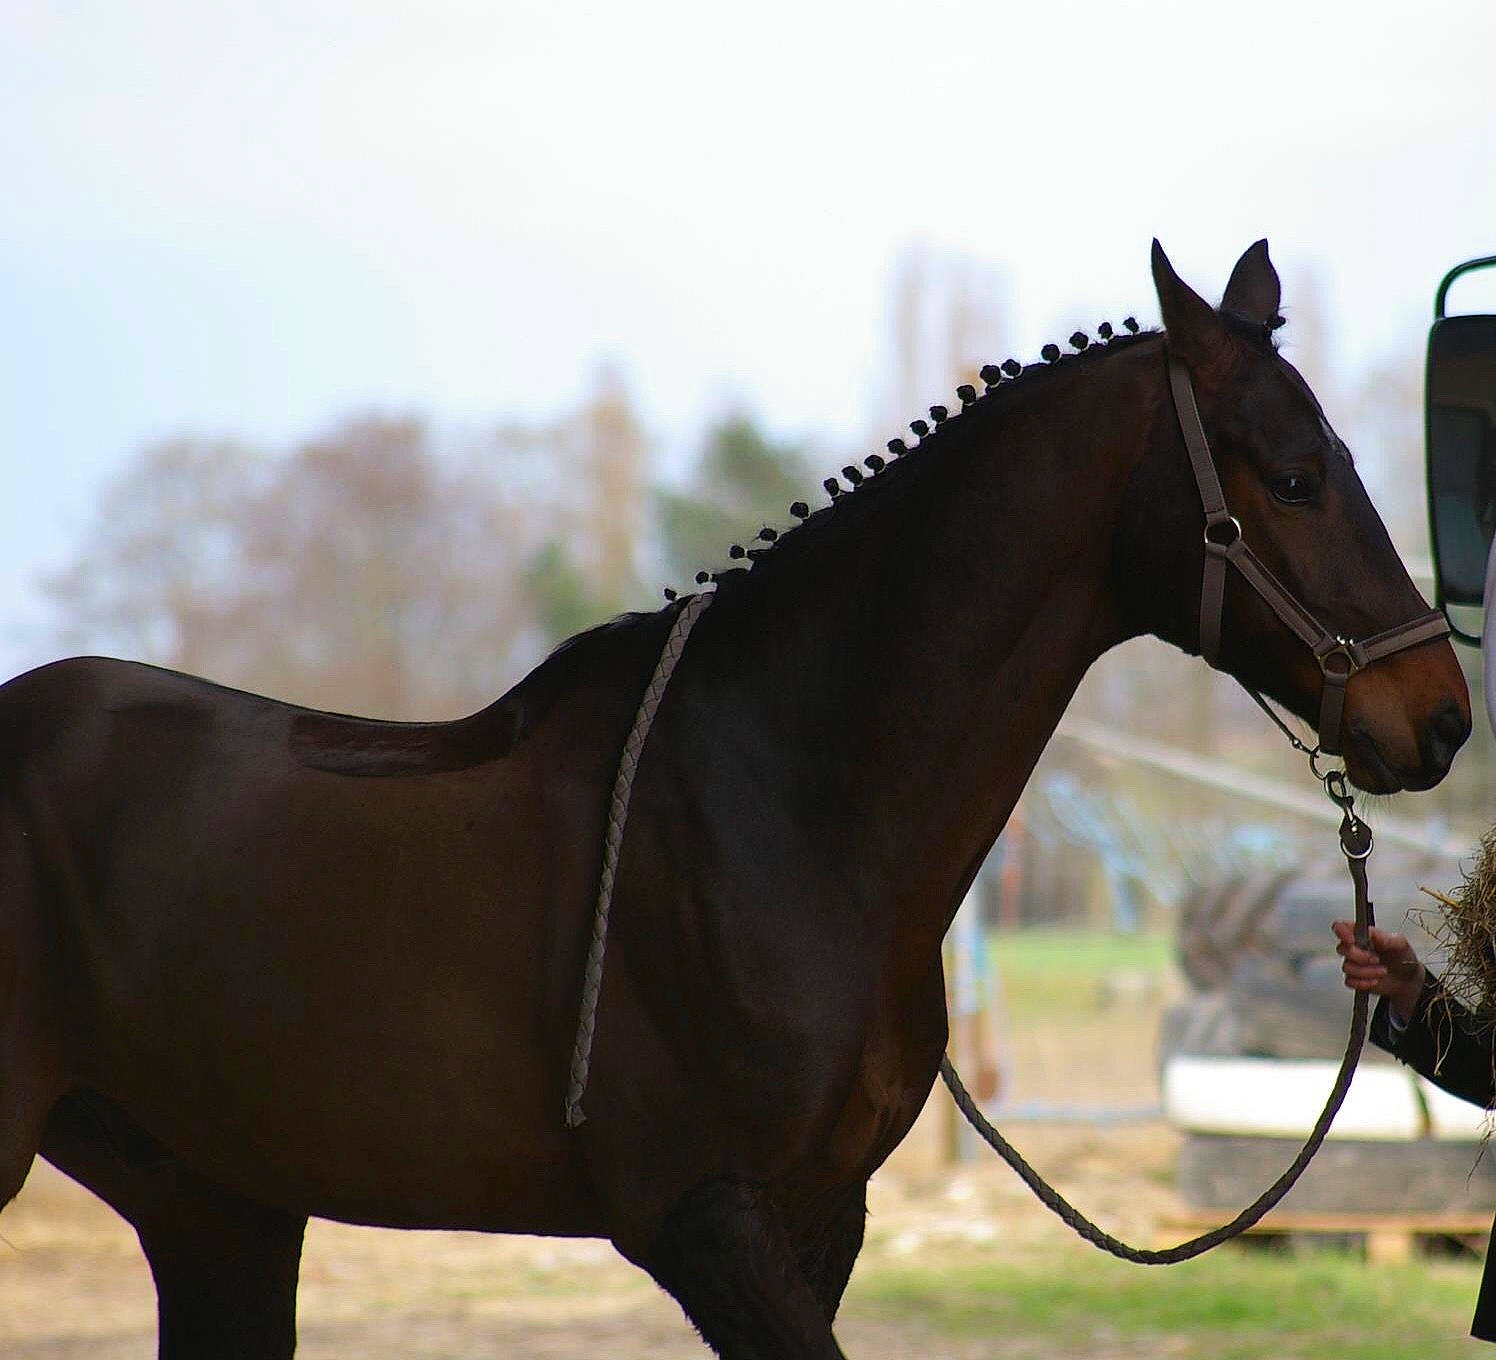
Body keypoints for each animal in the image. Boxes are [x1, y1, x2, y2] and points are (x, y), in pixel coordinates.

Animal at [0, 240, 1470, 1358]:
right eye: (1292, 477)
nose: (1442, 715)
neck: (786, 812)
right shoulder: (707, 1221)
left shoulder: (821, 1219)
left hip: (218, 1210)